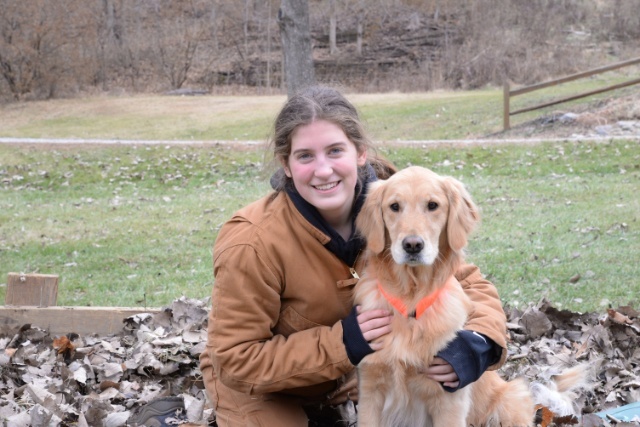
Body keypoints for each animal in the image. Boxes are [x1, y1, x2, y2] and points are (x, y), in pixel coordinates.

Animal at [356, 167, 584, 427]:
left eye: (432, 205)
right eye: (394, 206)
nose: (412, 245)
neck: (411, 299)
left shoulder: (449, 400)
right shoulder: (370, 391)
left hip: (509, 401)